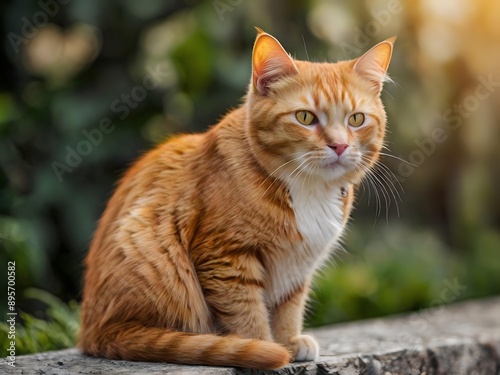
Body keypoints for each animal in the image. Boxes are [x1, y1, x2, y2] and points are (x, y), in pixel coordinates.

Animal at [79, 29, 394, 370]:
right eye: (305, 117)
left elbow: (288, 308)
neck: (308, 189)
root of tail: (92, 334)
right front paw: (265, 346)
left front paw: (287, 341)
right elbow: (247, 313)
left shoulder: (296, 269)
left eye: (356, 119)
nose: (339, 145)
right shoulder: (225, 258)